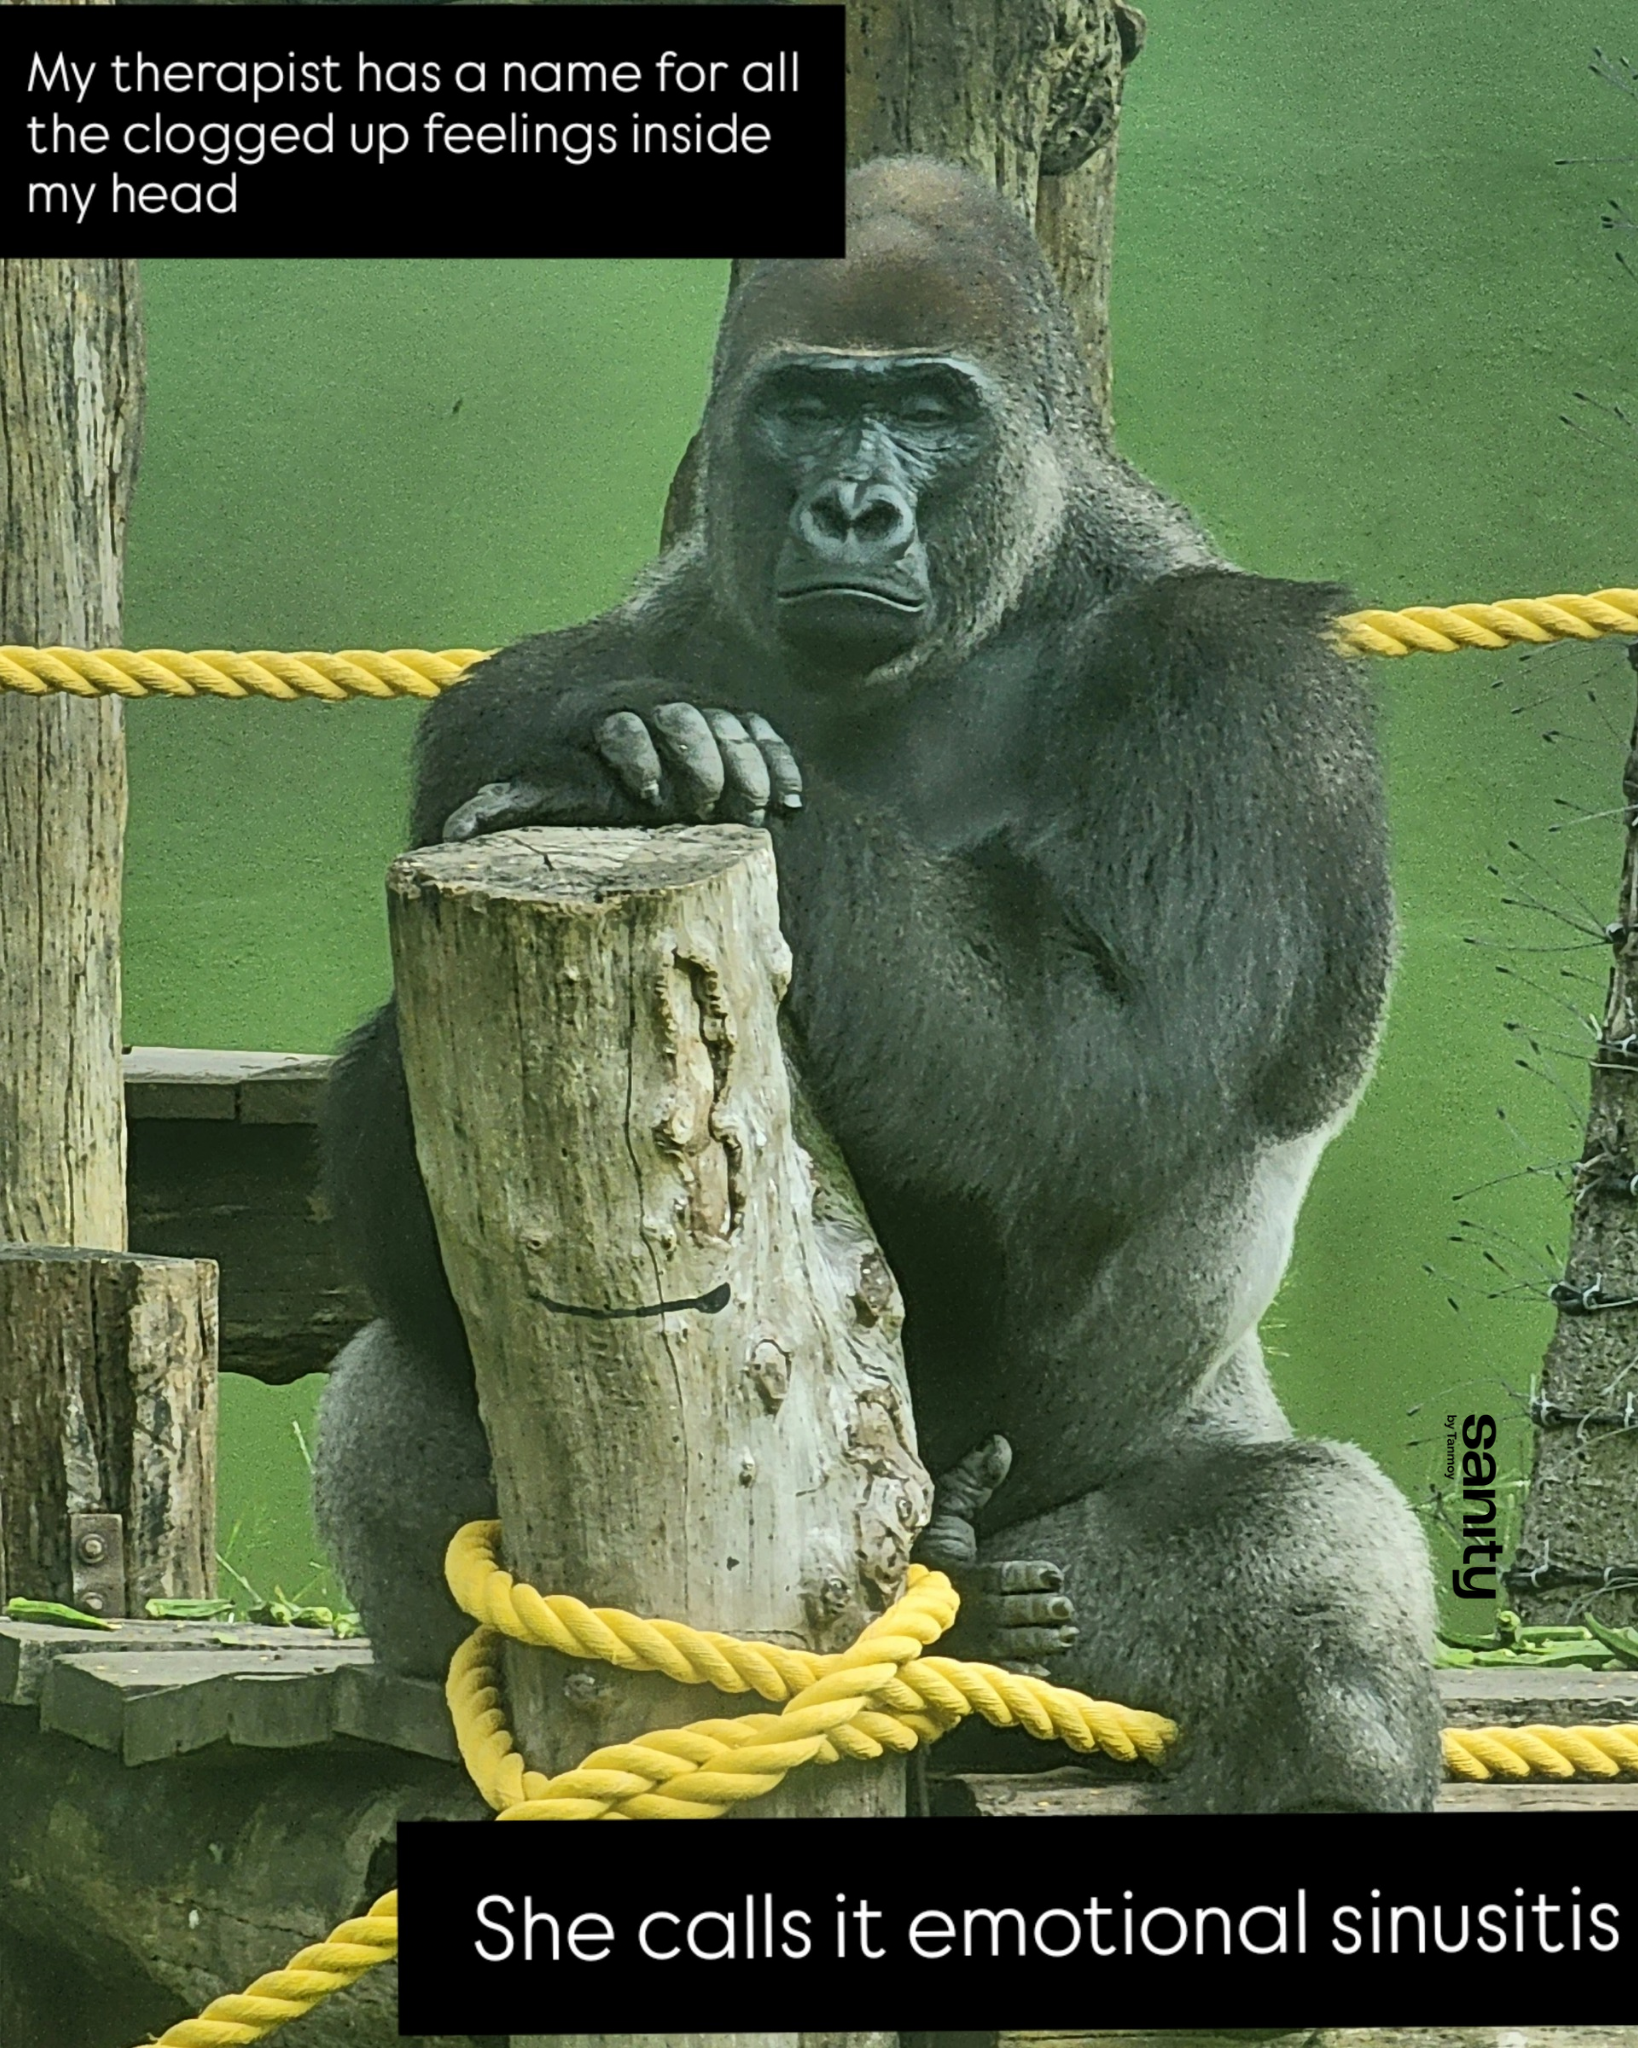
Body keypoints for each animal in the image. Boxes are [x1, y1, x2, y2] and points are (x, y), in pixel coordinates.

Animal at [314, 156, 1442, 1813]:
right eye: (804, 406)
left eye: (925, 410)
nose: (856, 504)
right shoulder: (606, 630)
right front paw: (623, 738)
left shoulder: (1236, 675)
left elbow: (1096, 1056)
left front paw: (626, 768)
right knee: (387, 1406)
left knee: (1313, 1574)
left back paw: (1046, 1625)